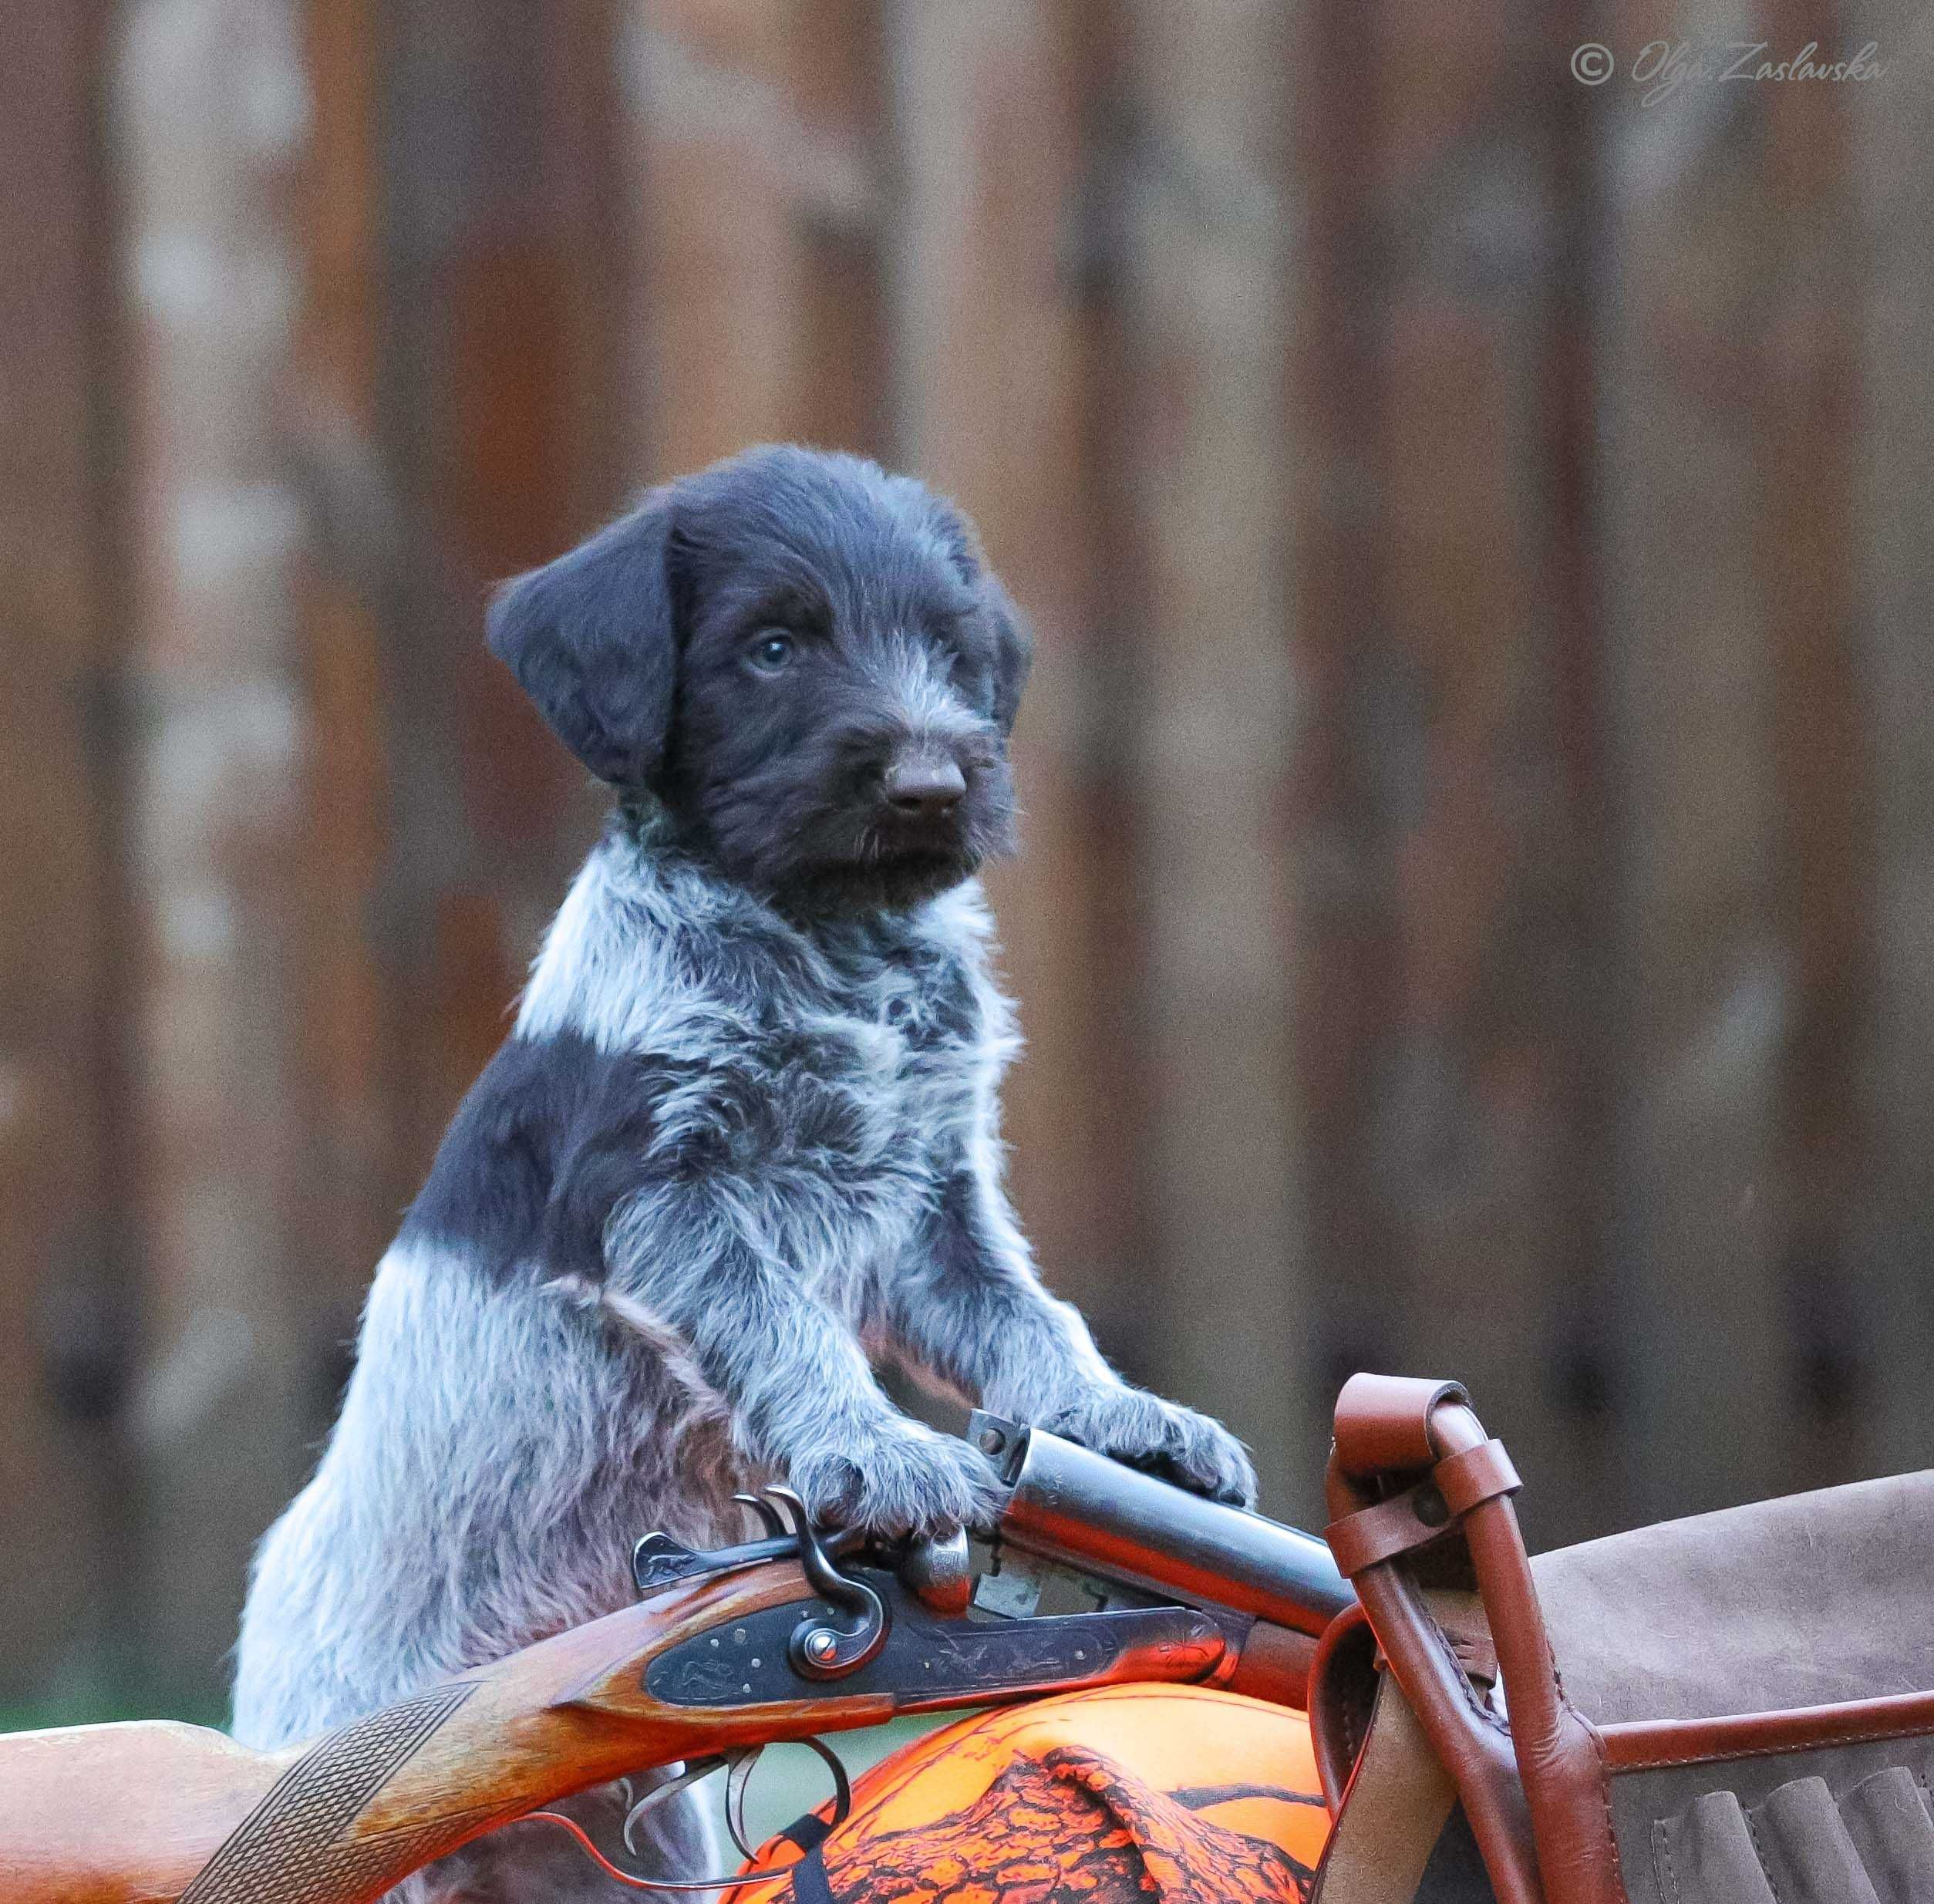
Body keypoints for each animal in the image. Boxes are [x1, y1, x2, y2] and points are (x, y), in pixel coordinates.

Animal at [230, 443, 1253, 1888]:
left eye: (949, 650)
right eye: (772, 648)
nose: (932, 783)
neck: (827, 936)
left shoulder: (934, 1207)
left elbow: (1030, 1321)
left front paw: (1121, 1421)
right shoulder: (672, 1198)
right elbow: (782, 1328)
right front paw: (880, 1456)